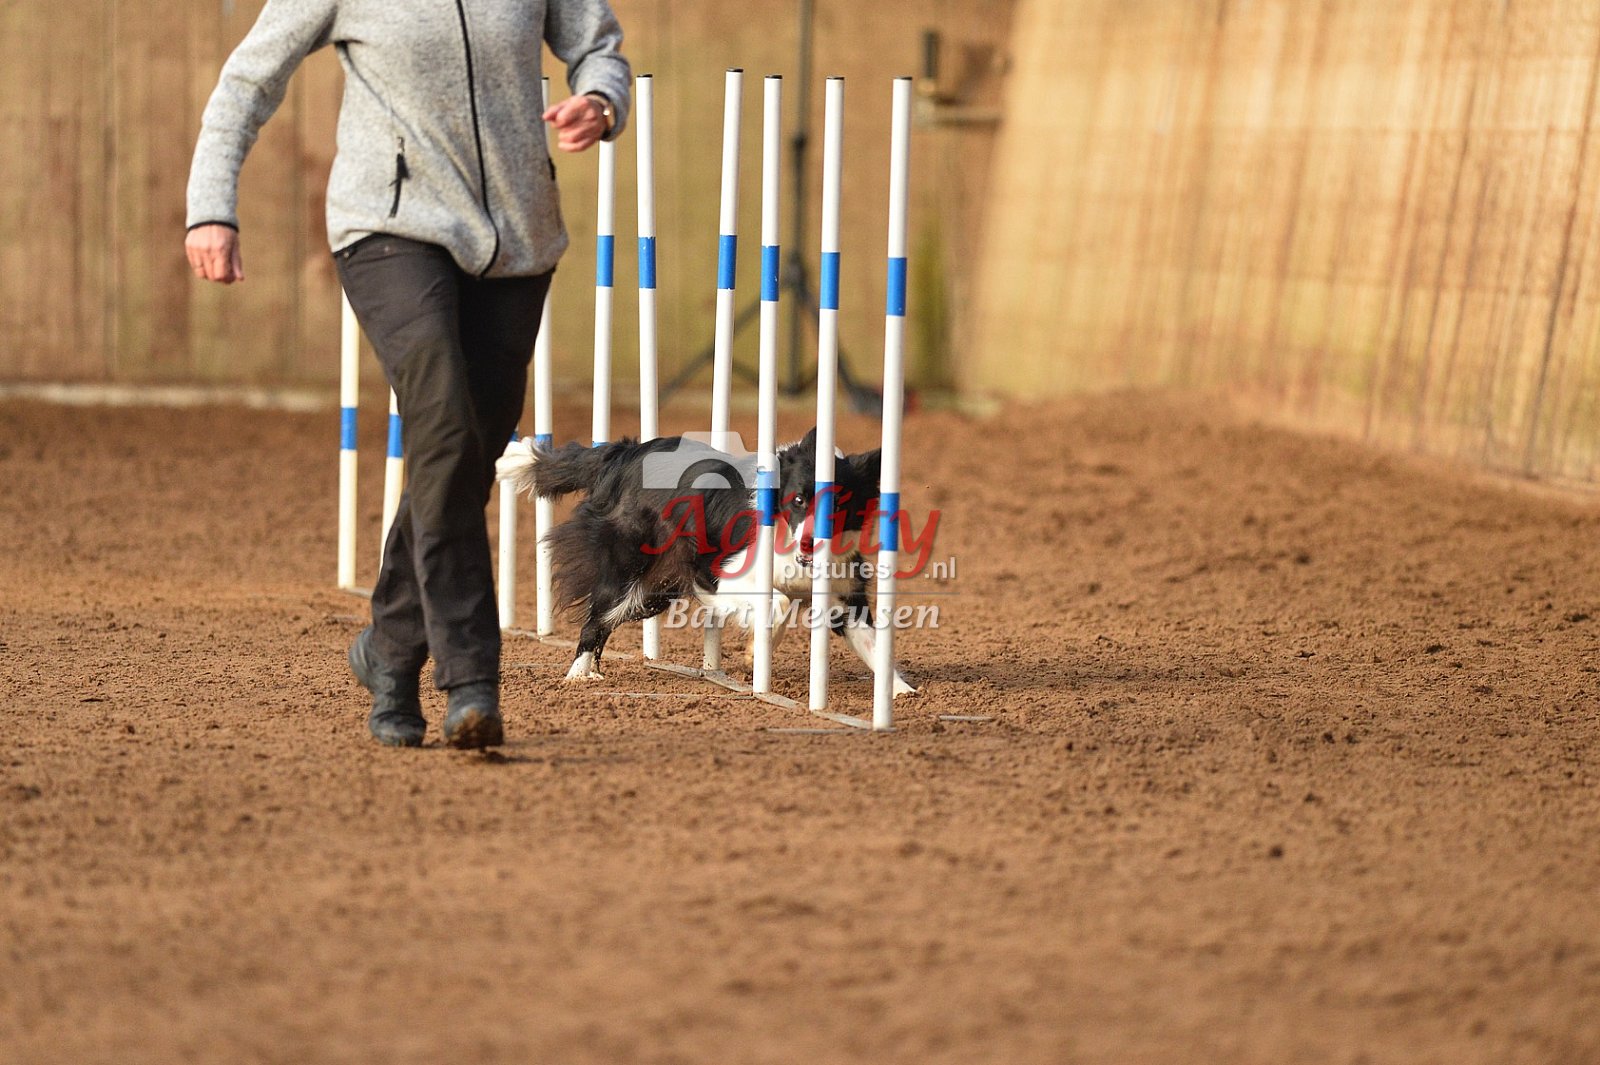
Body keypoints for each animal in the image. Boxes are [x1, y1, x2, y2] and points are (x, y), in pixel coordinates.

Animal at [496, 430, 916, 695]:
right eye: (798, 500)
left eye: (840, 506)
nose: (810, 543)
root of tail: (624, 454)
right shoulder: (723, 574)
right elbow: (777, 603)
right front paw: (756, 650)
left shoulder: (845, 596)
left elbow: (874, 644)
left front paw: (903, 693)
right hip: (628, 568)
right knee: (595, 619)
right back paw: (578, 677)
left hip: (654, 590)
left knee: (607, 620)